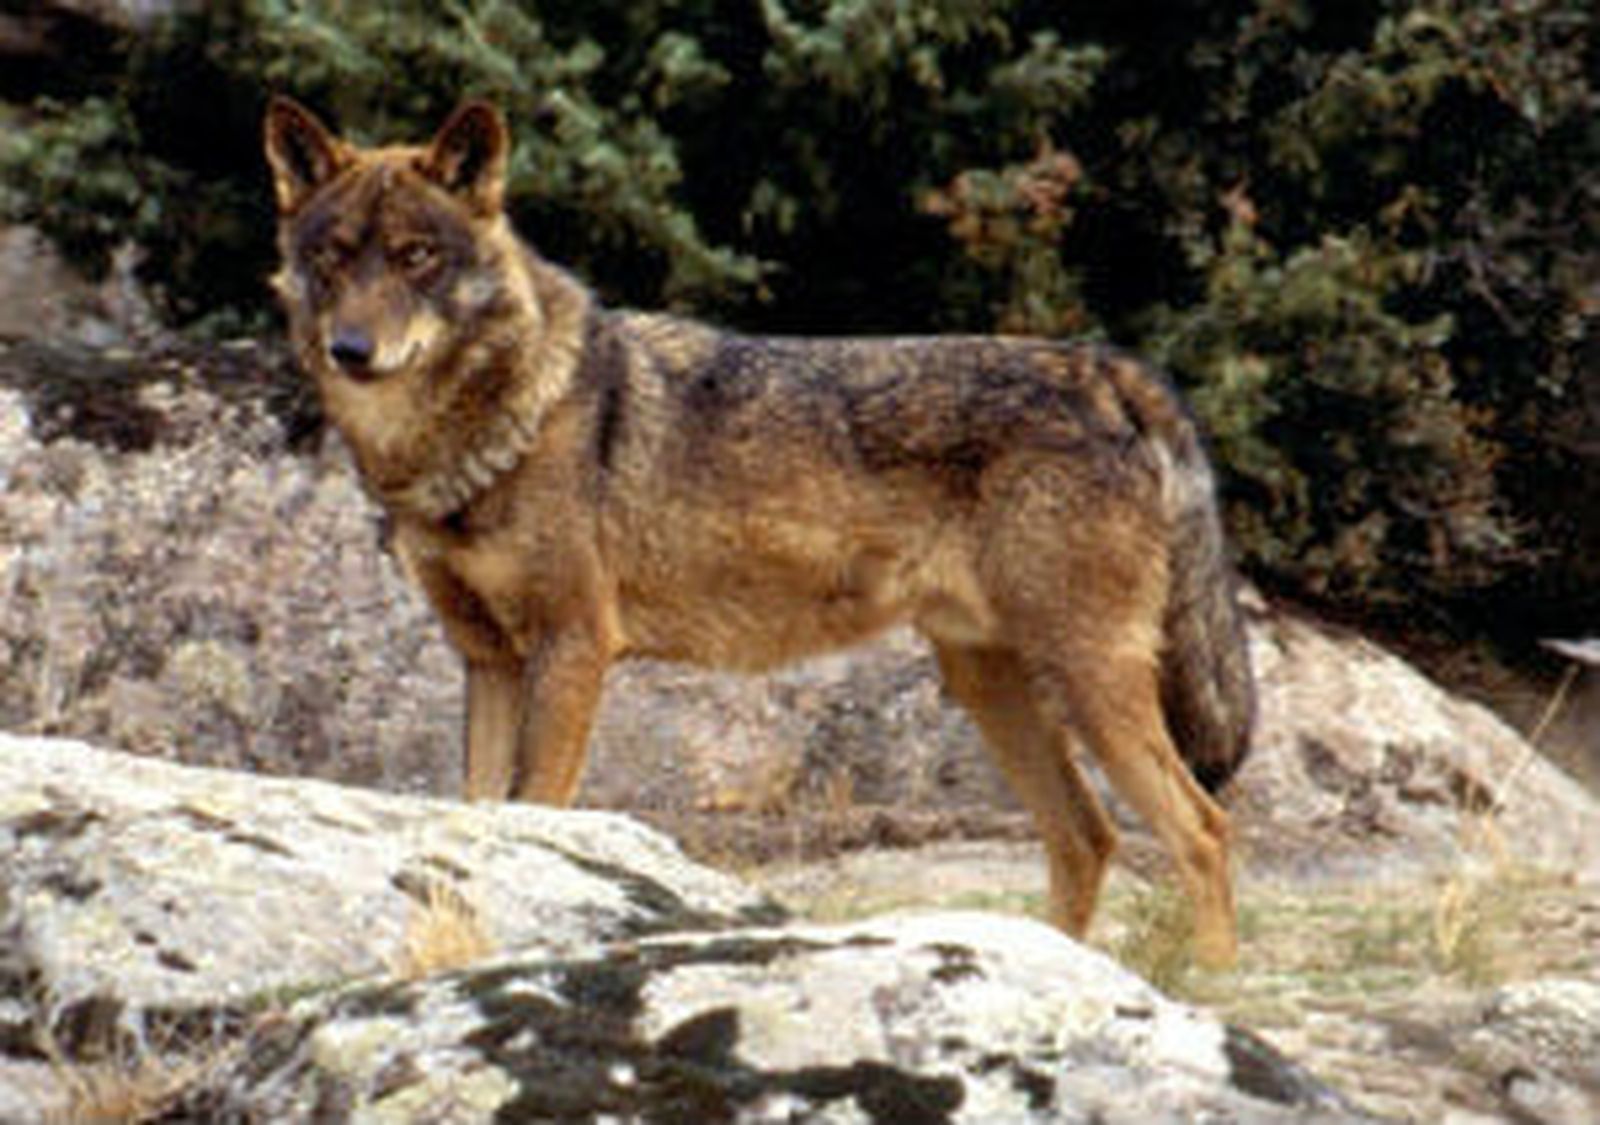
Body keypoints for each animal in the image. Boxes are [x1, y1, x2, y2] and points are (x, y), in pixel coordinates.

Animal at [264, 97, 1255, 966]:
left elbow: (536, 808)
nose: (352, 351)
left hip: (1088, 680)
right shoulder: (488, 660)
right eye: (336, 258)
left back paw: (1212, 985)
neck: (484, 430)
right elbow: (479, 817)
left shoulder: (573, 646)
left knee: (1204, 829)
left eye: (417, 257)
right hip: (995, 685)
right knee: (1088, 837)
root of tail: (1112, 369)